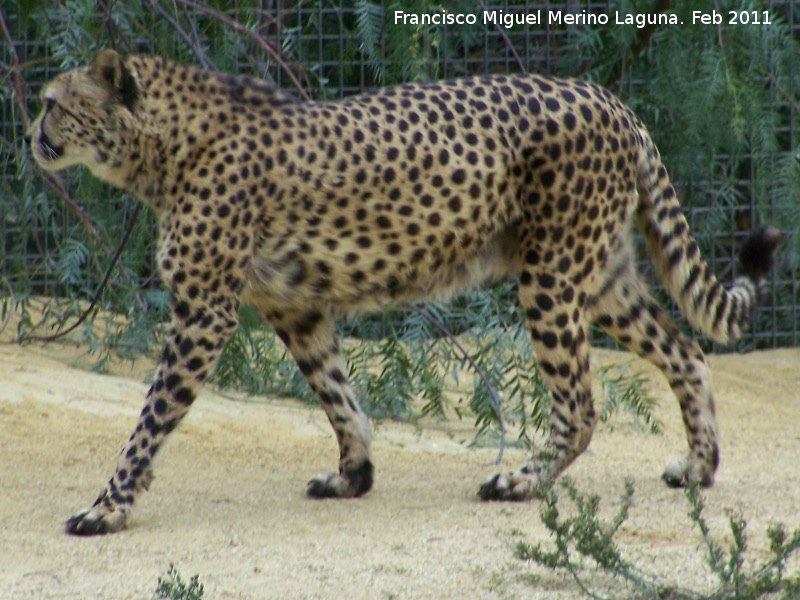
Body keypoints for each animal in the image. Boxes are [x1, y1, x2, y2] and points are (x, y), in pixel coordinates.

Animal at [26, 48, 780, 536]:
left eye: (54, 105)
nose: (32, 134)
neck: (161, 147)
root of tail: (610, 99)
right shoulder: (292, 305)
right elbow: (338, 394)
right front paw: (353, 475)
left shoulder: (205, 312)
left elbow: (150, 421)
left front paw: (107, 507)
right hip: (601, 278)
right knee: (687, 352)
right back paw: (699, 467)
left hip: (552, 277)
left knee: (581, 405)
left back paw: (520, 480)